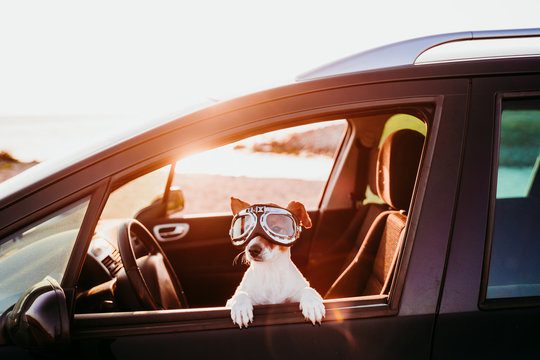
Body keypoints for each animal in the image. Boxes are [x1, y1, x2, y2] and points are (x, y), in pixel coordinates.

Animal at [225, 197, 324, 330]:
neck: (270, 271)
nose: (253, 250)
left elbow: (308, 289)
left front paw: (313, 304)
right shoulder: (232, 300)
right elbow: (241, 293)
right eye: (246, 230)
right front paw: (240, 308)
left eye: (276, 229)